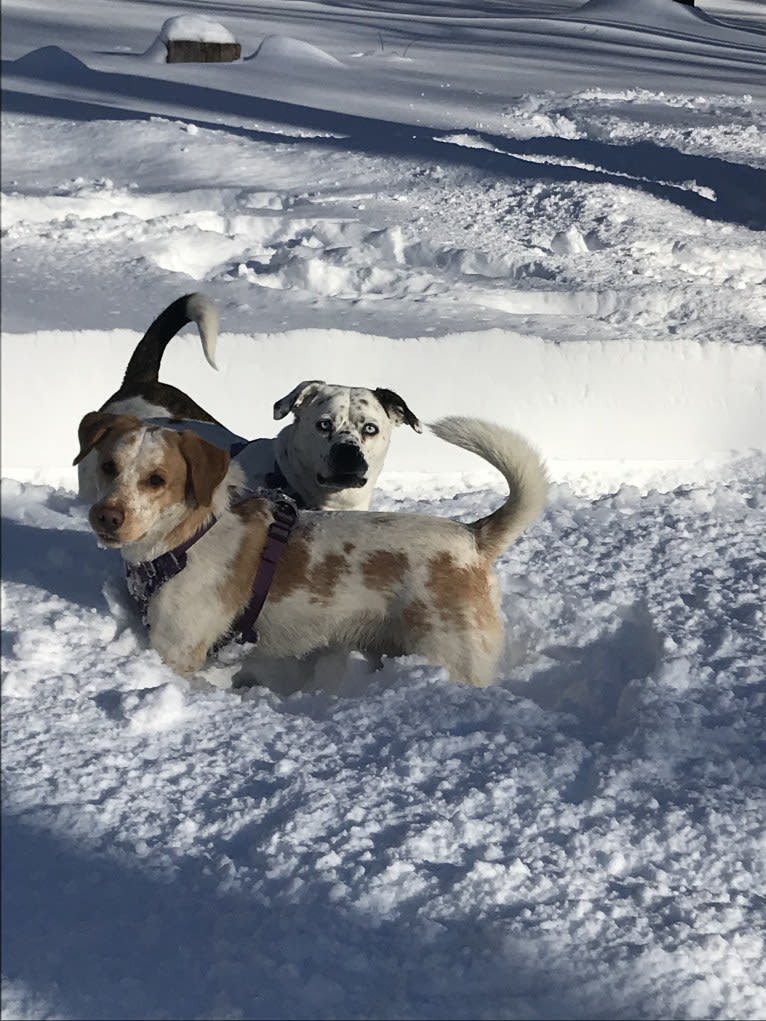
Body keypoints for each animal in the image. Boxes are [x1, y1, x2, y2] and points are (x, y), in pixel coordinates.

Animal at [75, 406, 547, 686]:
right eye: (108, 466)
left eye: (156, 480)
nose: (106, 516)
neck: (186, 538)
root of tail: (473, 536)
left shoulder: (178, 651)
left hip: (453, 657)